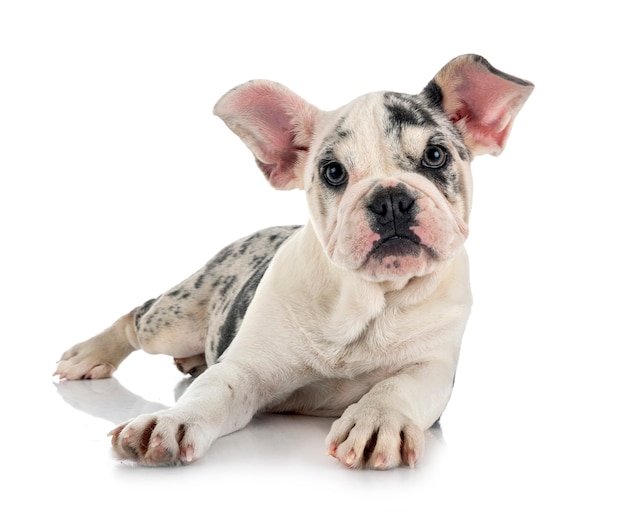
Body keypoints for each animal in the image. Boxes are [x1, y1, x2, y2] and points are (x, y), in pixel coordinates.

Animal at [54, 55, 532, 468]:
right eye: (333, 173)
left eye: (435, 156)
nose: (390, 198)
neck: (368, 299)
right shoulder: (246, 369)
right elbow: (210, 393)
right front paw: (169, 423)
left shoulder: (434, 368)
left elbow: (399, 385)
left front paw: (378, 419)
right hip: (173, 320)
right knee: (136, 318)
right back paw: (89, 354)